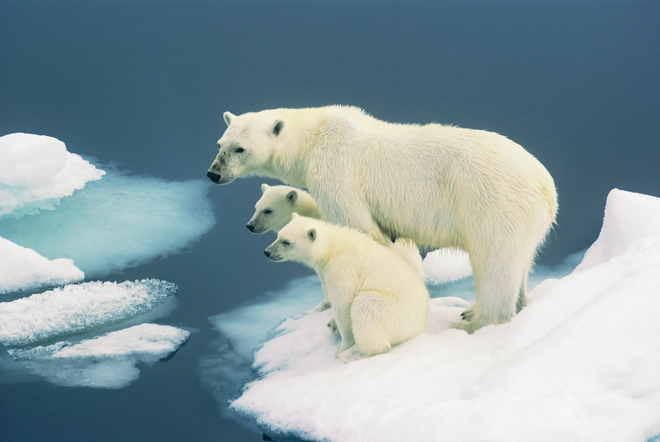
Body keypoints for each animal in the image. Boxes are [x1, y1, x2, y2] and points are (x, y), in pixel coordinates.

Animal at [208, 107, 556, 334]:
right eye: (220, 144)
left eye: (240, 148)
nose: (213, 173)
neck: (314, 135)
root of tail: (546, 186)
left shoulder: (336, 169)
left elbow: (358, 228)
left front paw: (338, 320)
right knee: (521, 261)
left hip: (492, 204)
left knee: (495, 262)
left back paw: (473, 320)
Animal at [266, 213, 430, 362]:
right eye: (278, 235)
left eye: (286, 242)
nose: (267, 252)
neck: (332, 247)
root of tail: (421, 323)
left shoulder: (343, 268)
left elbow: (343, 304)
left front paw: (343, 346)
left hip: (398, 315)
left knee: (365, 305)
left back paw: (351, 352)